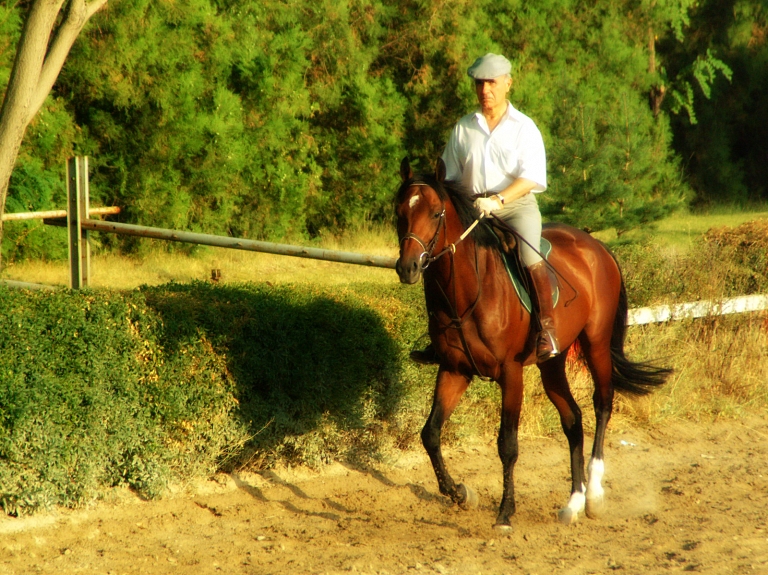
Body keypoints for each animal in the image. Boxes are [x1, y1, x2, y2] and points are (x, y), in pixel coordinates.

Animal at [396, 156, 672, 532]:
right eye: (399, 212)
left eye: (436, 213)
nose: (408, 267)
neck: (468, 291)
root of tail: (596, 246)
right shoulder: (454, 370)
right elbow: (431, 434)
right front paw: (460, 494)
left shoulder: (510, 373)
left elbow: (507, 445)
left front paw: (504, 513)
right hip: (552, 362)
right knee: (573, 419)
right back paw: (573, 502)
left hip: (596, 344)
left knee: (603, 404)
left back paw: (594, 495)